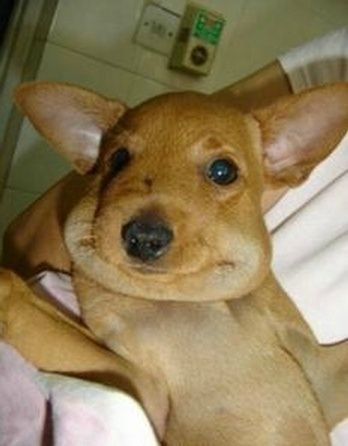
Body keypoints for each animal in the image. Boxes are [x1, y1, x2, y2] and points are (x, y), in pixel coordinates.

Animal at [9, 83, 348, 442]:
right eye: (117, 159)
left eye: (223, 171)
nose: (144, 237)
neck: (195, 299)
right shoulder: (140, 391)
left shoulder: (322, 376)